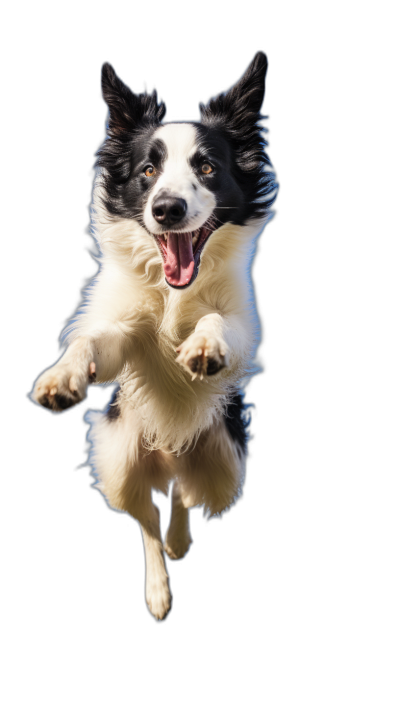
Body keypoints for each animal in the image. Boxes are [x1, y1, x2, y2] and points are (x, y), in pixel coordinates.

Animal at [29, 51, 278, 616]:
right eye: (148, 170)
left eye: (206, 167)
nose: (167, 210)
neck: (173, 294)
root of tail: (168, 451)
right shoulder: (125, 337)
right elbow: (93, 341)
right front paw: (62, 377)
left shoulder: (242, 326)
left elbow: (218, 323)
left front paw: (204, 345)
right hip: (119, 457)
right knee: (144, 515)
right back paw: (158, 590)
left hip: (225, 463)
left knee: (184, 491)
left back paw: (179, 541)